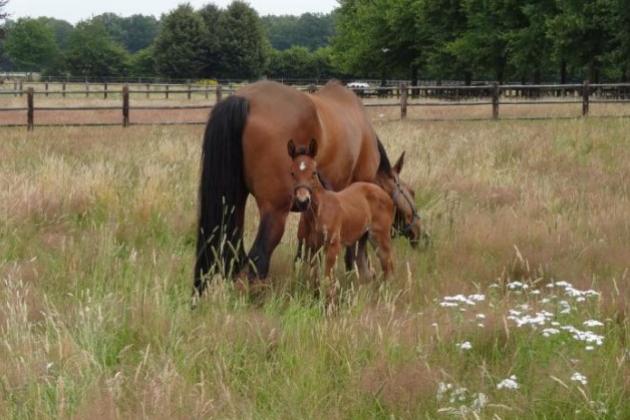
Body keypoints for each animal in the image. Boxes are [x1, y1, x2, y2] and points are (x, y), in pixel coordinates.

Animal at [290, 139, 398, 284]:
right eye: (292, 173)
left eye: (314, 172)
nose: (303, 201)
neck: (317, 212)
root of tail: (385, 194)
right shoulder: (311, 246)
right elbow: (315, 278)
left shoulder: (332, 246)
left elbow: (327, 279)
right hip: (362, 238)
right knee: (365, 270)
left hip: (380, 236)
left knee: (388, 266)